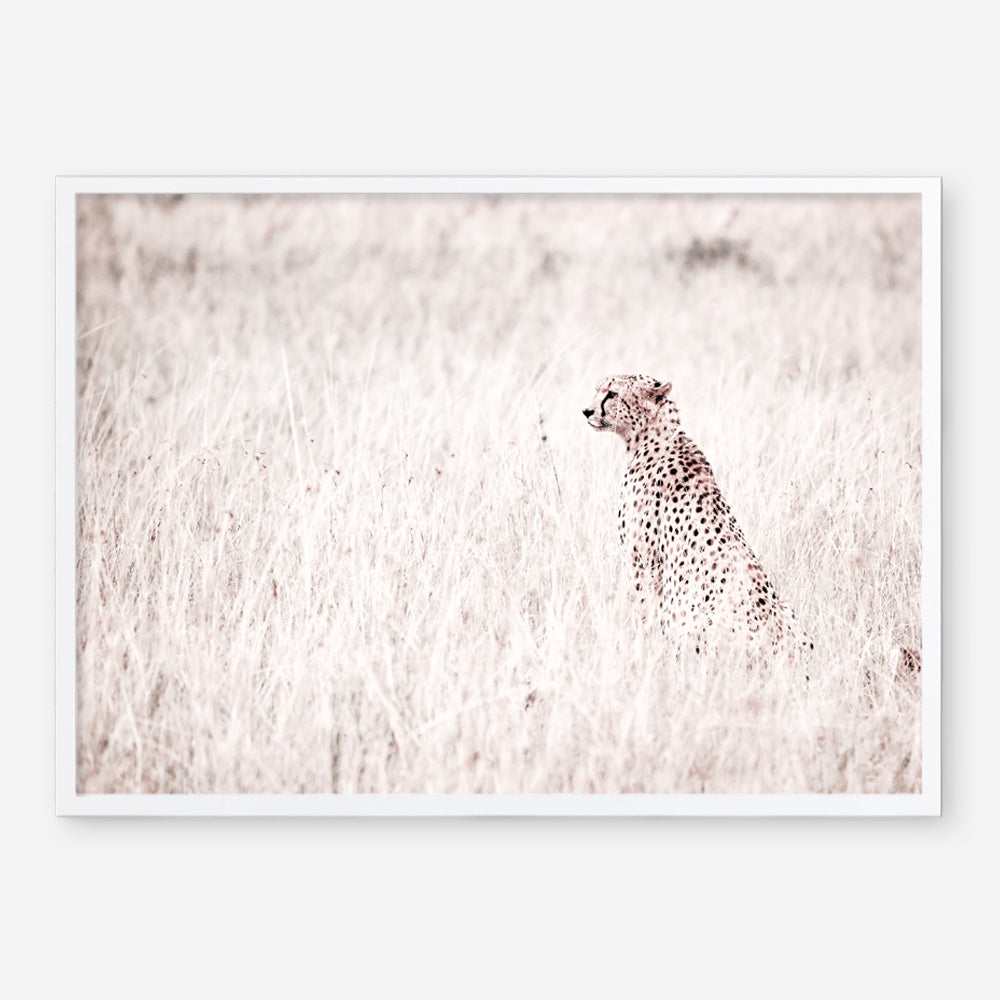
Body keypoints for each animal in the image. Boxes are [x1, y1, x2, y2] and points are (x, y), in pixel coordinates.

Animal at [582, 373, 813, 662]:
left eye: (612, 394)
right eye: (597, 390)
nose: (586, 411)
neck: (651, 437)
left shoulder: (643, 560)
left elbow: (642, 608)